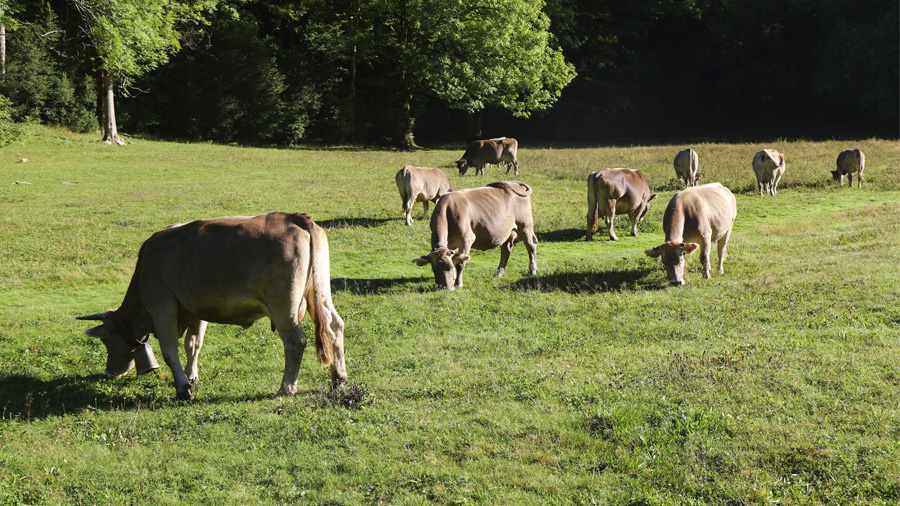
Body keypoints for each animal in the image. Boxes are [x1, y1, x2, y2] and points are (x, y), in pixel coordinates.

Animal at [76, 211, 348, 402]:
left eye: (105, 340)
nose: (109, 373)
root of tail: (295, 217)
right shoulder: (196, 309)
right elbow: (193, 344)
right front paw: (191, 375)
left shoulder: (162, 305)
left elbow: (170, 351)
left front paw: (183, 388)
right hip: (319, 293)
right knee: (335, 326)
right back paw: (339, 378)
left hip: (285, 306)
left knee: (294, 341)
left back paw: (286, 388)